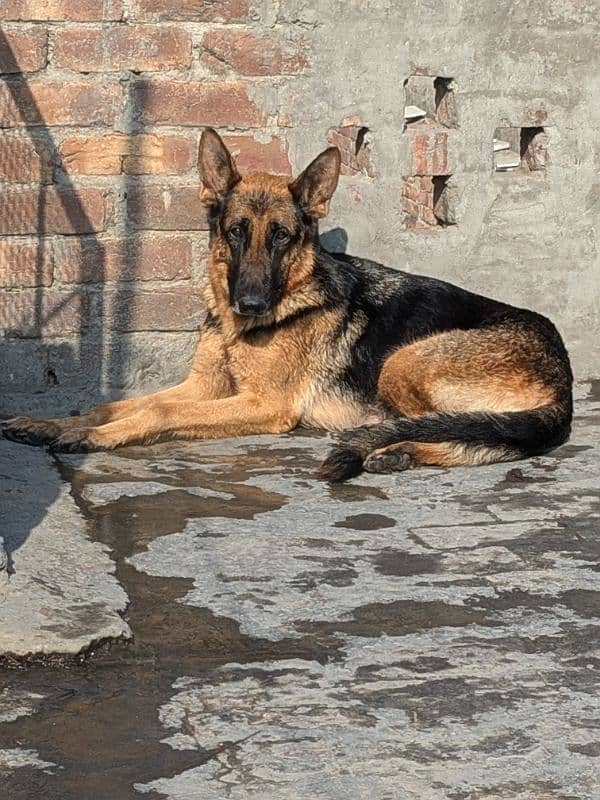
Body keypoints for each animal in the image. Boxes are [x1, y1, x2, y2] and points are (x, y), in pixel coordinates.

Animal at [1, 128, 572, 484]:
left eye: (281, 237)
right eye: (235, 232)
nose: (250, 302)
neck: (241, 327)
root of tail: (562, 380)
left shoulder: (262, 404)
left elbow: (158, 410)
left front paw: (92, 437)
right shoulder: (203, 386)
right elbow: (114, 403)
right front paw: (55, 424)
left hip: (403, 361)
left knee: (461, 425)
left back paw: (391, 446)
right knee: (486, 436)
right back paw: (397, 453)